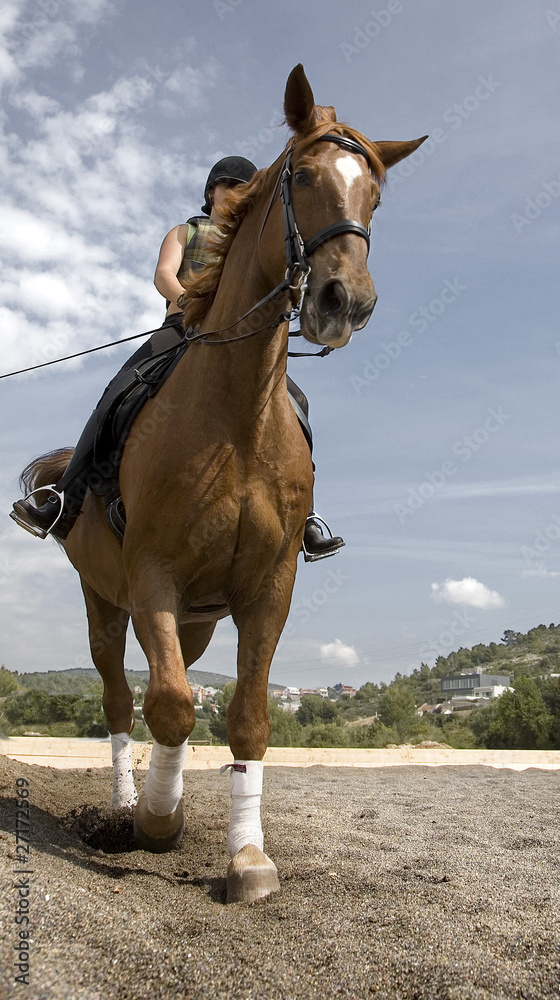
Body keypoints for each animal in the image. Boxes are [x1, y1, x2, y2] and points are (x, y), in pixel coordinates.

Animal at [19, 64, 426, 902]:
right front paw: (157, 821)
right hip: (103, 599)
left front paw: (247, 858)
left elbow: (245, 718)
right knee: (120, 697)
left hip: (198, 617)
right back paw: (124, 807)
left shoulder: (267, 588)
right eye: (301, 177)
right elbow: (171, 704)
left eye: (373, 194)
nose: (345, 302)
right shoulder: (151, 574)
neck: (235, 417)